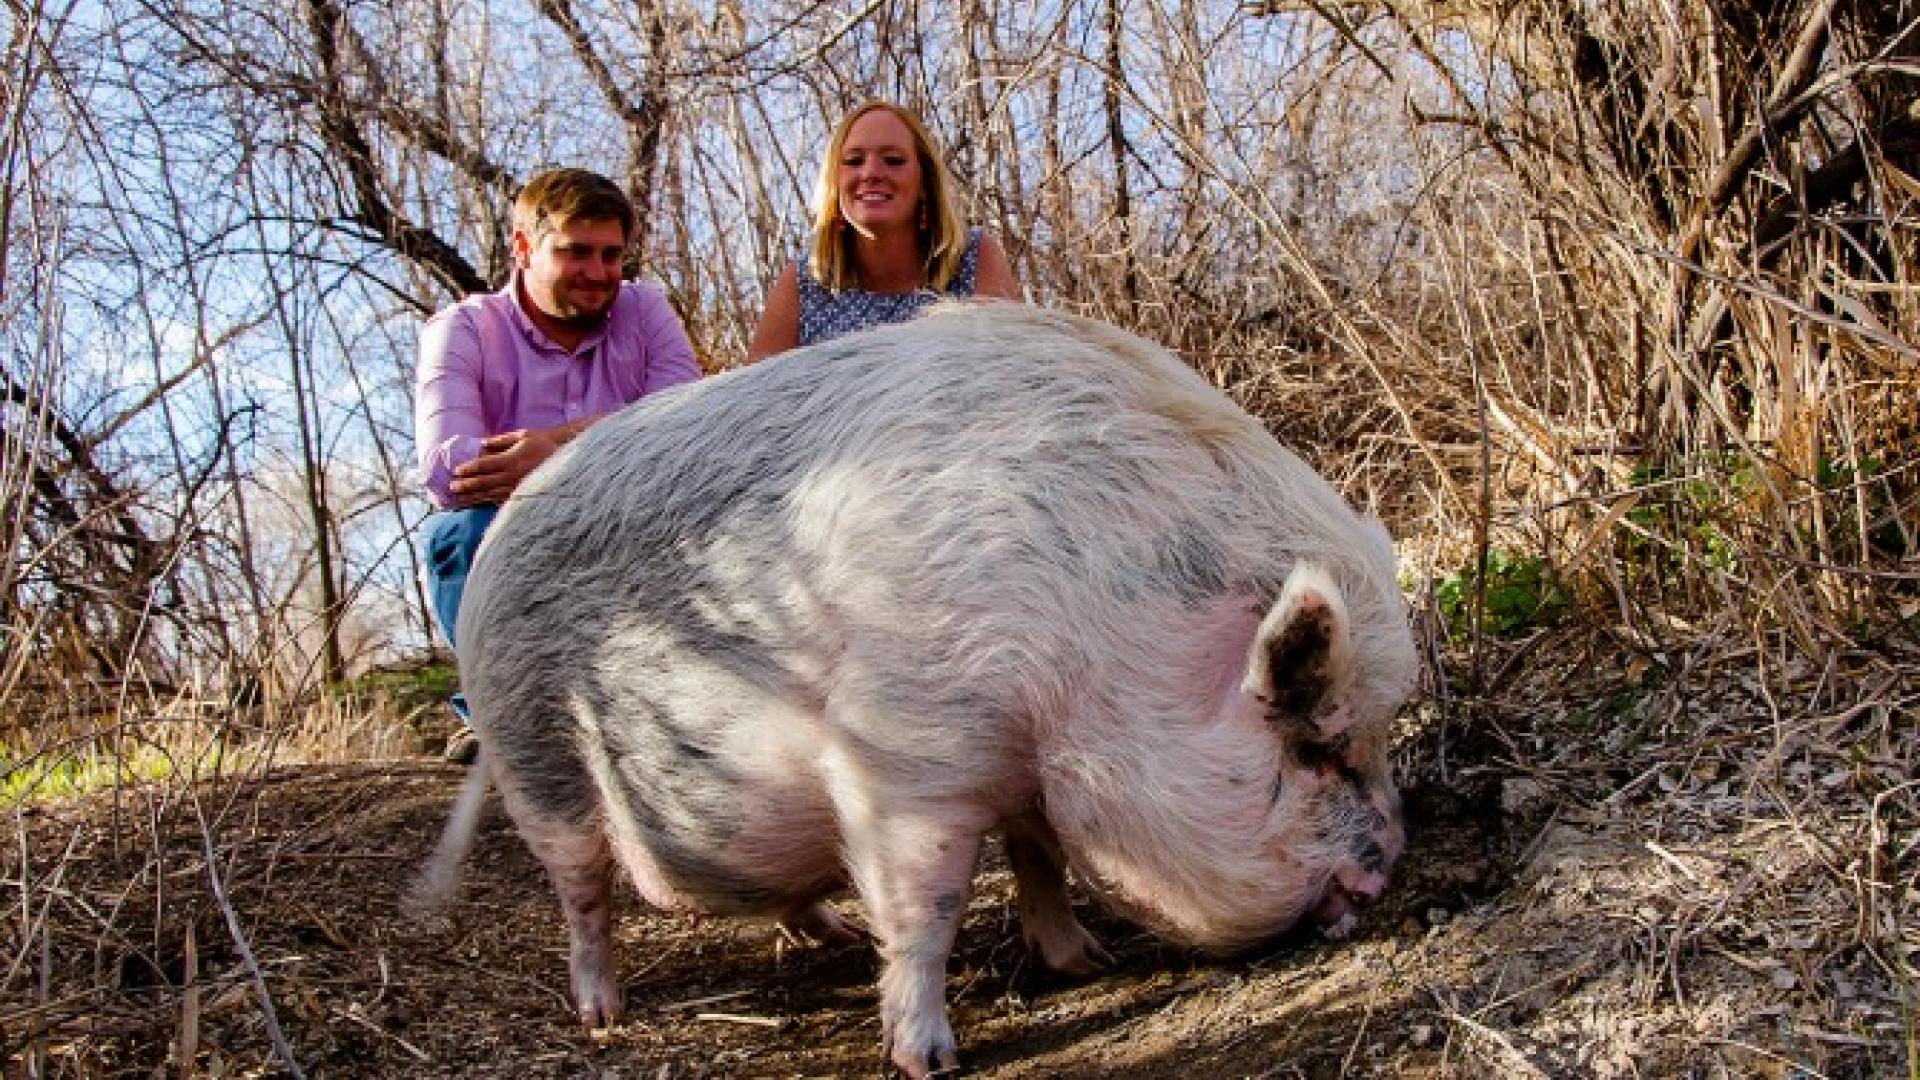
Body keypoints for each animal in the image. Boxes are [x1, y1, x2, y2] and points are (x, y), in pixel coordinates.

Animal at [417, 303, 1417, 1078]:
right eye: (1316, 741)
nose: (1384, 872)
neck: (1106, 633)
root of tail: (504, 525)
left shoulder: (1022, 765)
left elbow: (1039, 858)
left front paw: (1085, 963)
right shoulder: (906, 754)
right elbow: (927, 902)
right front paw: (927, 1059)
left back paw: (829, 936)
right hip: (534, 758)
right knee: (582, 889)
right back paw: (602, 1013)